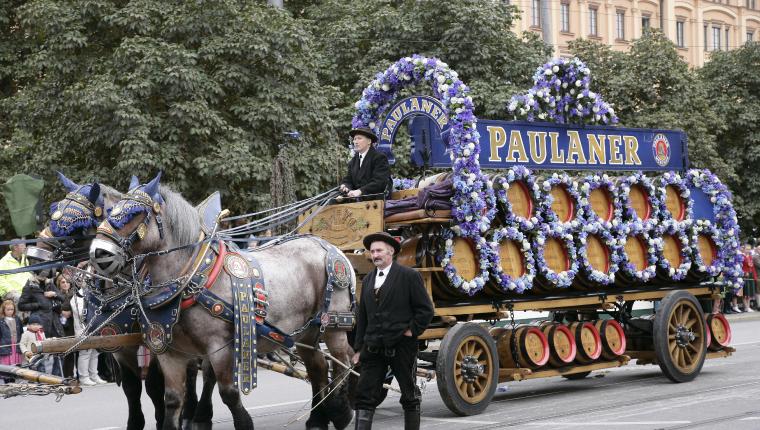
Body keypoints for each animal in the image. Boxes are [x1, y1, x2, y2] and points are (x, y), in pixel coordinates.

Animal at [26, 172, 214, 430]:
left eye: (74, 226)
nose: (34, 257)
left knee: (206, 371)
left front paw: (160, 419)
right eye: (54, 212)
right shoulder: (117, 342)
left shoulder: (152, 338)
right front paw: (136, 422)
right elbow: (131, 387)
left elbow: (153, 384)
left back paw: (199, 414)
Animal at [89, 172, 356, 430]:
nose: (98, 253)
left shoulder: (220, 347)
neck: (191, 279)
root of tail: (329, 246)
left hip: (334, 326)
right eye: (111, 212)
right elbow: (172, 400)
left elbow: (228, 393)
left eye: (134, 214)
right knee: (318, 368)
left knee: (342, 364)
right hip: (305, 333)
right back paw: (318, 419)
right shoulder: (169, 352)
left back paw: (340, 410)